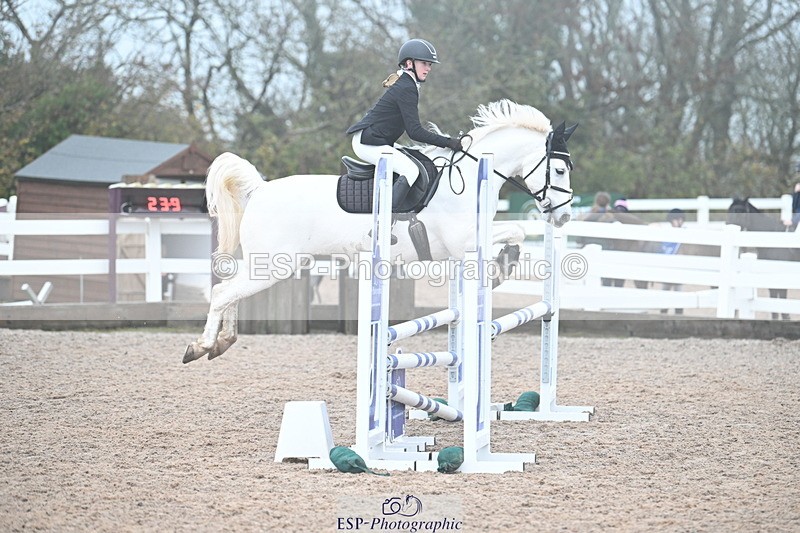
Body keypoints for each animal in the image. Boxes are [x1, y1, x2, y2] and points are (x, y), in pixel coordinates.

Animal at [183, 100, 578, 362]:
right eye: (559, 170)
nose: (563, 217)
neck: (468, 177)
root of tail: (260, 189)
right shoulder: (463, 240)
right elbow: (515, 231)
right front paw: (501, 268)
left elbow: (514, 233)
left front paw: (502, 266)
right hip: (274, 264)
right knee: (222, 293)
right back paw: (201, 346)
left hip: (265, 263)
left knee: (229, 292)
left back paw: (222, 343)